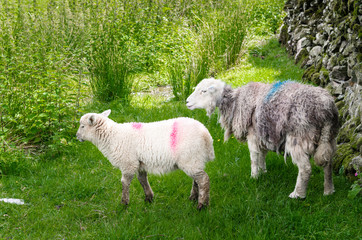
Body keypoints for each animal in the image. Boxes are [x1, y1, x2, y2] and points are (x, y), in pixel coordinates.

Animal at [75, 109, 214, 209]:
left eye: (82, 126)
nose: (76, 136)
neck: (112, 136)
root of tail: (207, 135)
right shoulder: (139, 163)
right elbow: (142, 180)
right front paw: (149, 198)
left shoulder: (128, 163)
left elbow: (124, 183)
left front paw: (124, 203)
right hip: (195, 158)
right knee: (197, 180)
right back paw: (193, 198)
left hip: (190, 158)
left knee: (204, 180)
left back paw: (202, 205)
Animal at [187, 79, 340, 199]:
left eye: (203, 91)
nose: (187, 102)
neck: (234, 101)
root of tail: (326, 109)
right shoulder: (262, 134)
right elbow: (262, 154)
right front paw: (263, 171)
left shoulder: (252, 134)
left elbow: (254, 155)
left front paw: (254, 176)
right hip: (328, 138)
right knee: (328, 163)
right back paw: (328, 190)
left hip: (299, 136)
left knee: (305, 168)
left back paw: (298, 194)